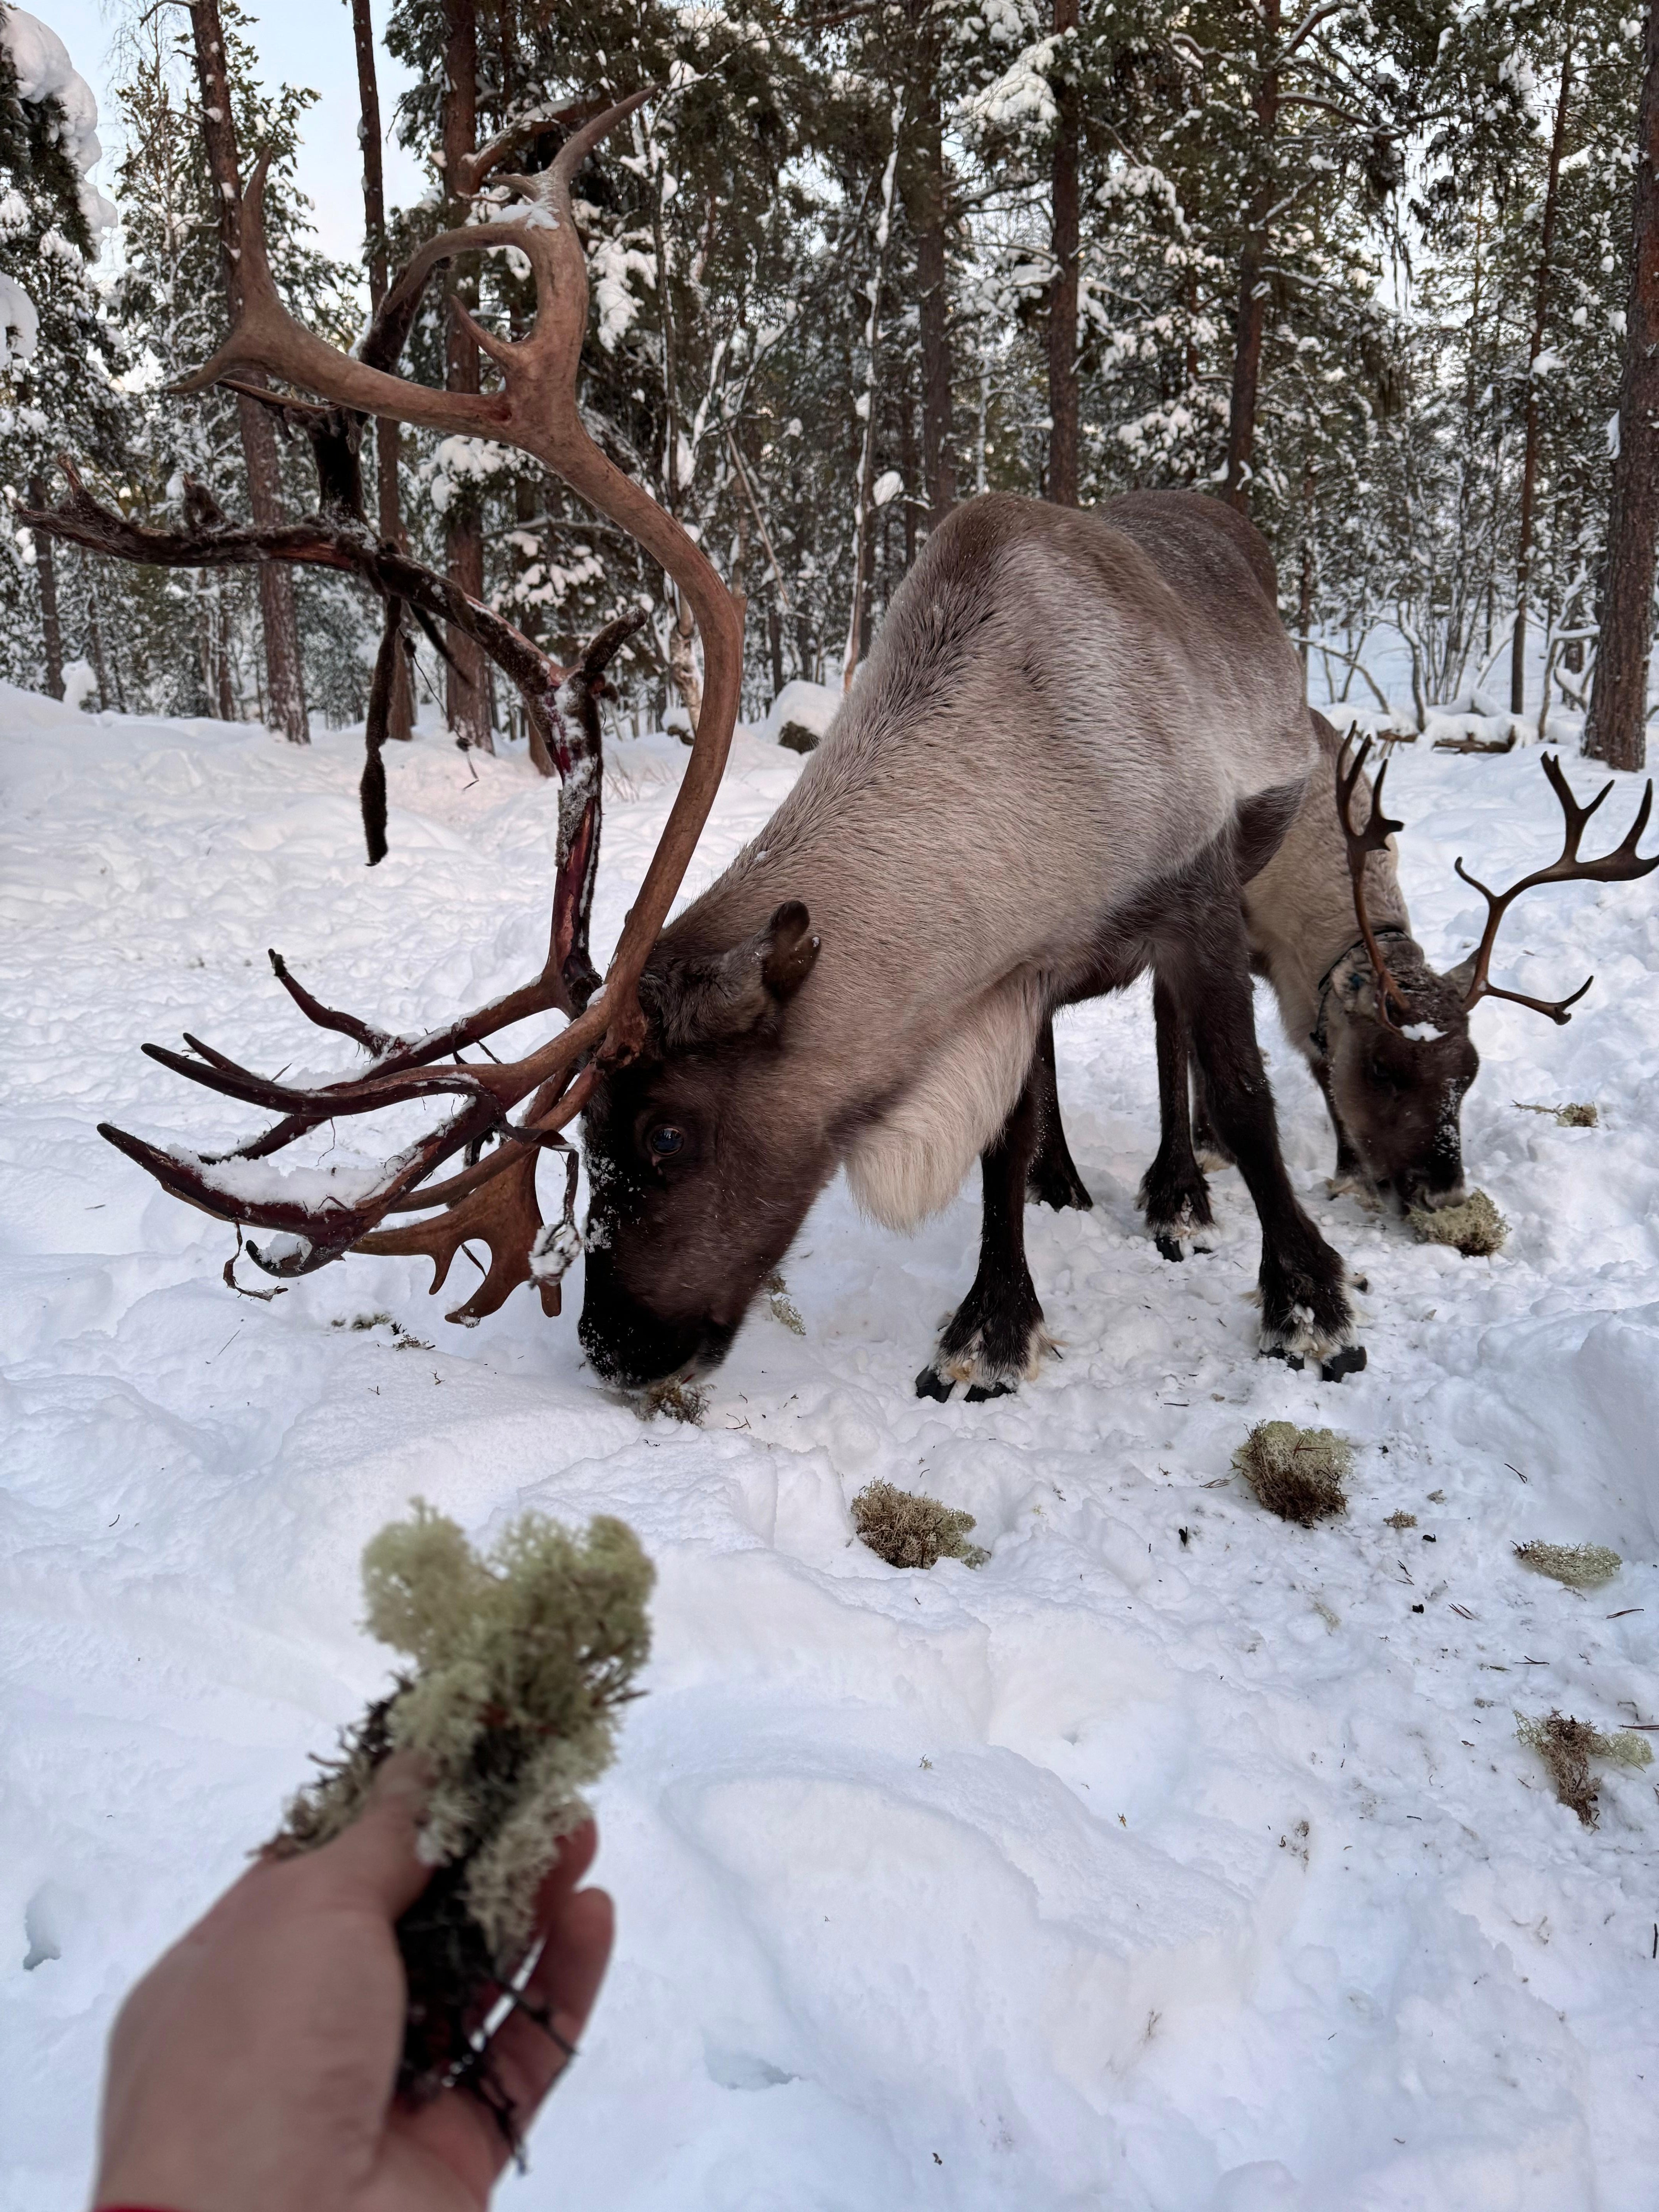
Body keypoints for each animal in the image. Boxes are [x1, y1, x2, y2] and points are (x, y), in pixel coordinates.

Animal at [1024, 710, 1657, 1255]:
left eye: (1471, 1072)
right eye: (1383, 1069)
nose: (1442, 1195)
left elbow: (1309, 1058)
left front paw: (1345, 1170)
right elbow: (1179, 1042)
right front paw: (1186, 1186)